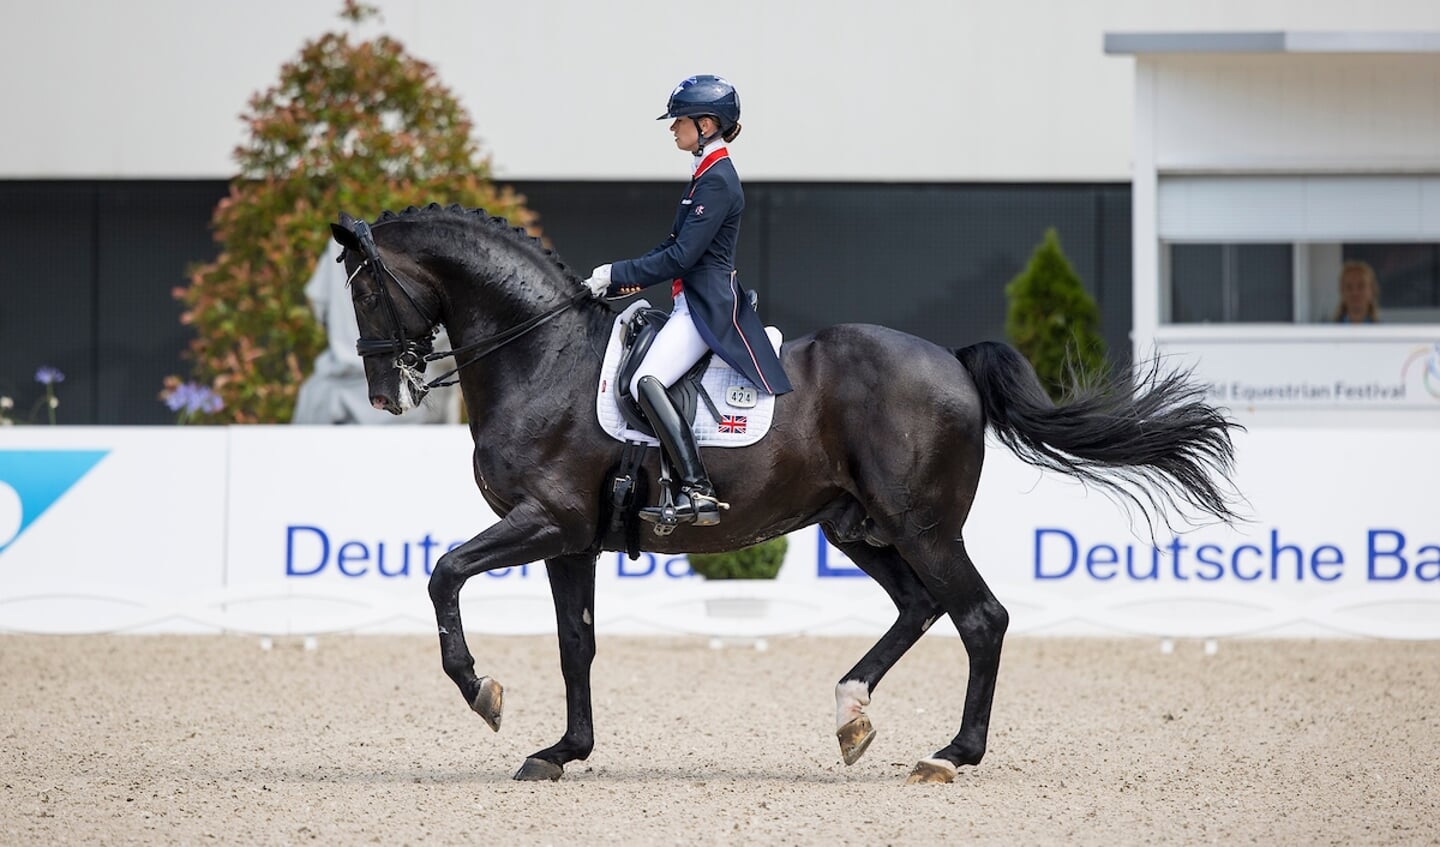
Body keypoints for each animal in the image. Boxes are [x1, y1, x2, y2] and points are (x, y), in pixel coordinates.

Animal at [329, 207, 1238, 789]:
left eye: (363, 291)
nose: (382, 393)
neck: (542, 355)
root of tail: (949, 358)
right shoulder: (572, 539)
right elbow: (574, 645)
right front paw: (561, 750)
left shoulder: (546, 521)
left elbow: (444, 573)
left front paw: (480, 691)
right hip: (856, 527)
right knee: (921, 608)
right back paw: (851, 714)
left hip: (921, 525)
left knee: (980, 617)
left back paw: (950, 754)